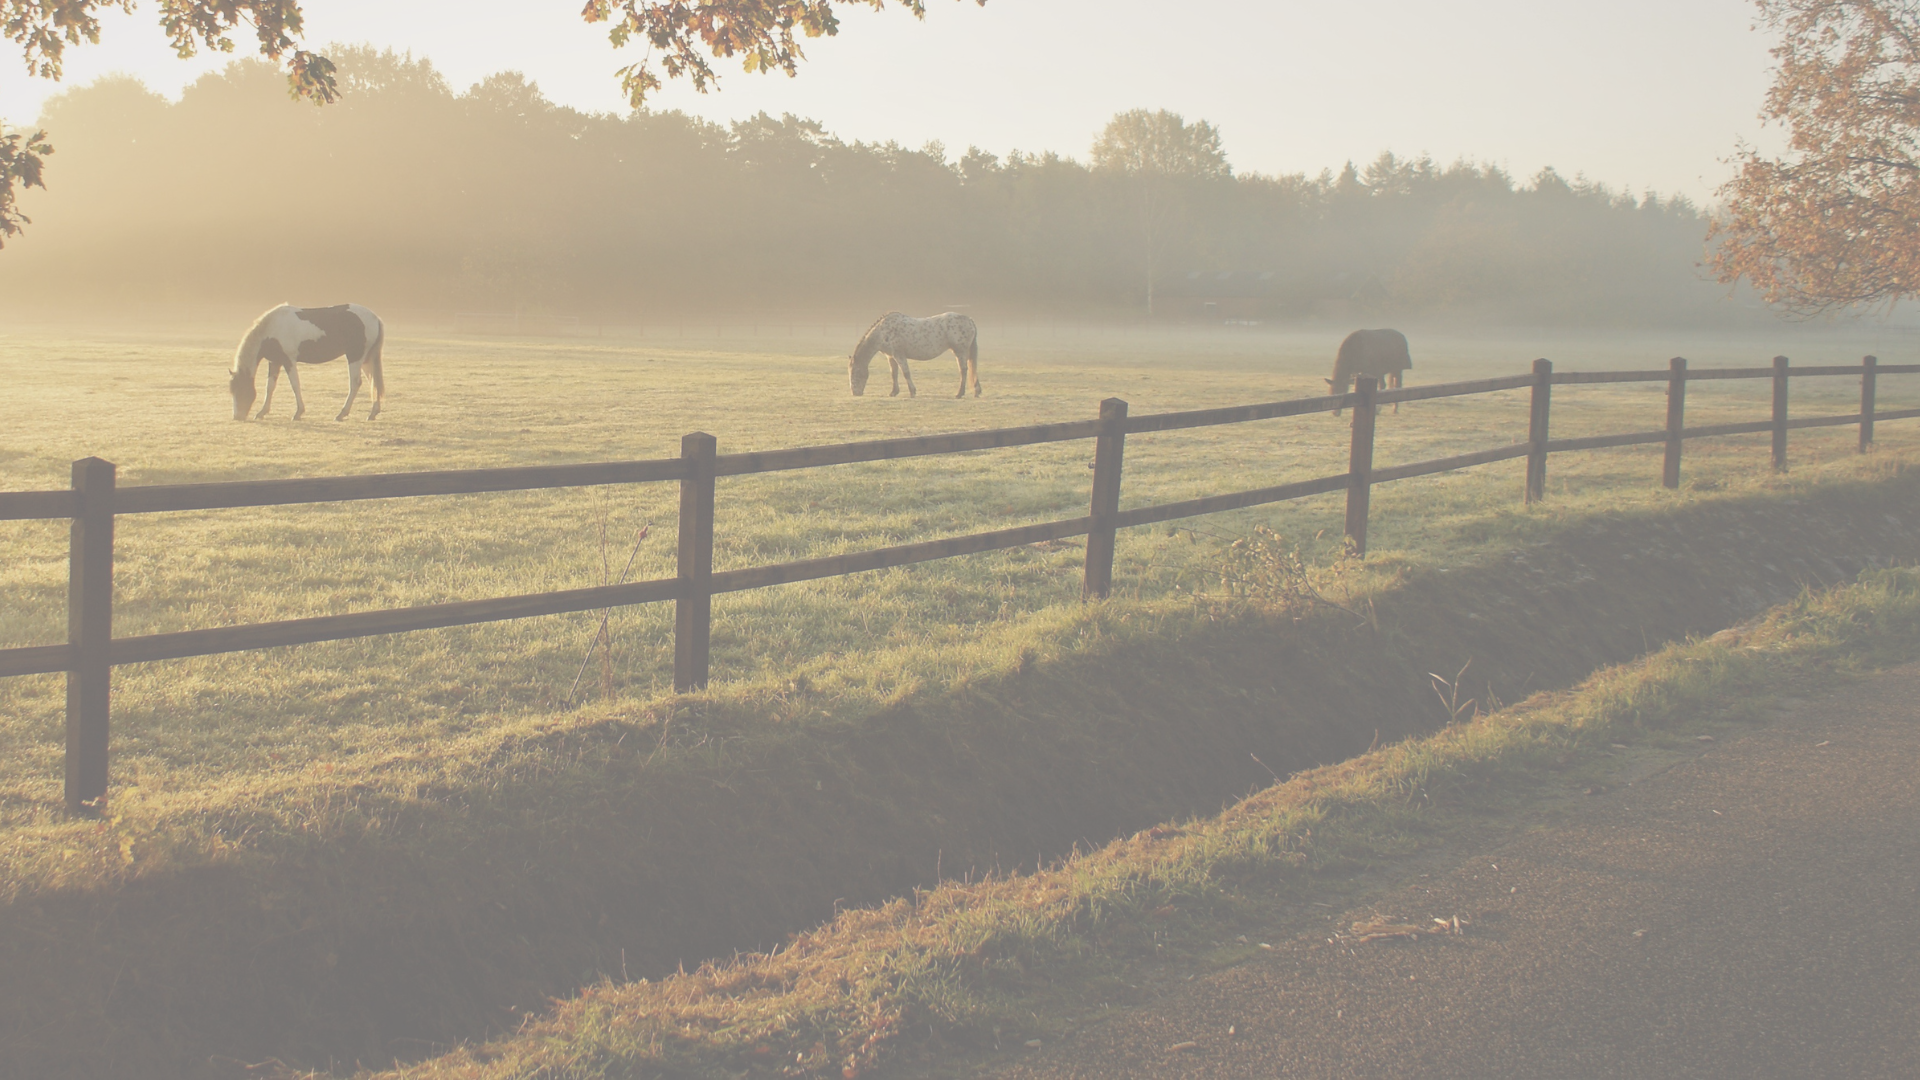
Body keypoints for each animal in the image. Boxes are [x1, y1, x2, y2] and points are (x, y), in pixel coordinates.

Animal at [229, 303, 386, 421]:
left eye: (240, 389)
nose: (237, 417)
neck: (272, 329)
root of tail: (375, 318)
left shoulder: (289, 361)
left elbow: (295, 385)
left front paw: (298, 413)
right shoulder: (275, 361)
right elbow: (270, 386)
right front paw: (262, 412)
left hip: (355, 357)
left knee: (355, 383)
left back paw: (341, 414)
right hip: (366, 359)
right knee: (373, 381)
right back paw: (372, 413)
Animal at [849, 311, 980, 398]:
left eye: (855, 373)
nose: (855, 393)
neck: (883, 332)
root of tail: (969, 319)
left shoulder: (899, 355)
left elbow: (906, 373)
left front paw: (912, 392)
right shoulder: (891, 357)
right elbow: (894, 374)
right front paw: (893, 392)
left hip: (960, 352)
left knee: (963, 370)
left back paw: (959, 393)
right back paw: (976, 391)